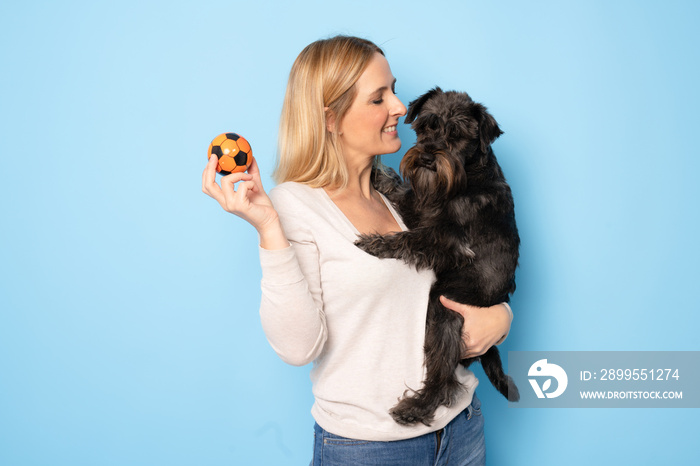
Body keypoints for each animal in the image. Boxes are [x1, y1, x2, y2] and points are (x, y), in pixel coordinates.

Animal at [356, 87, 520, 426]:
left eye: (456, 135)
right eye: (426, 126)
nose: (427, 157)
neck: (466, 177)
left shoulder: (449, 243)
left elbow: (410, 239)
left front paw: (377, 243)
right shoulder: (421, 209)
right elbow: (403, 192)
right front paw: (379, 176)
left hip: (443, 307)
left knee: (444, 376)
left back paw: (416, 407)